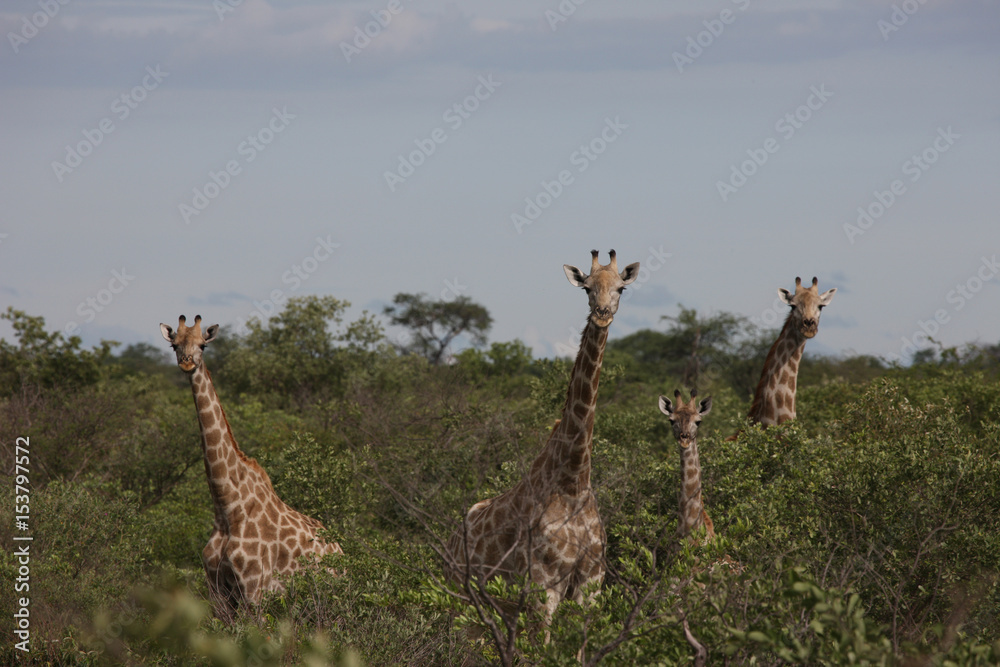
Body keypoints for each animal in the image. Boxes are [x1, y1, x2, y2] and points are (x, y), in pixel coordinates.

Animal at [160, 315, 343, 617]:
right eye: (175, 345)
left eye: (203, 345)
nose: (186, 362)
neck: (227, 508)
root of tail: (341, 549)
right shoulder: (218, 593)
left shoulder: (254, 591)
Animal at [446, 250, 639, 631]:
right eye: (587, 288)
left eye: (621, 289)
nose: (602, 314)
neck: (573, 481)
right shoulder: (543, 587)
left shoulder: (590, 586)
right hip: (462, 595)